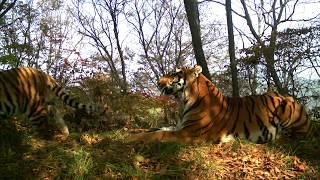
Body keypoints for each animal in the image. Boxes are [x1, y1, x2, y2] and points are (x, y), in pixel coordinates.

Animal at [129, 64, 312, 143]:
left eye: (175, 73)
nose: (158, 82)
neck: (184, 101)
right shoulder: (179, 126)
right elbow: (157, 128)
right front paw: (131, 132)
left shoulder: (187, 132)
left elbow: (158, 134)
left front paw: (130, 138)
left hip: (289, 111)